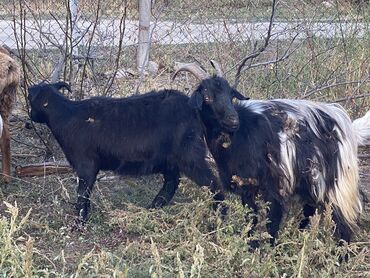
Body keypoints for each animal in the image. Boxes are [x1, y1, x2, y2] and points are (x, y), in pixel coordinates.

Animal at [27, 78, 244, 222]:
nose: (30, 117)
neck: (67, 115)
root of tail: (193, 109)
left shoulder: (86, 164)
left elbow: (83, 193)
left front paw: (80, 222)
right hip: (171, 160)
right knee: (171, 183)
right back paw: (152, 209)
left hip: (190, 155)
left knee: (212, 183)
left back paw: (221, 218)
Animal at [175, 62, 370, 243]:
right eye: (207, 97)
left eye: (231, 95)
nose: (233, 120)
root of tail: (348, 128)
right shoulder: (246, 187)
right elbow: (251, 217)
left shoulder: (273, 184)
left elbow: (272, 220)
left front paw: (264, 248)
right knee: (310, 211)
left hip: (338, 184)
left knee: (344, 223)